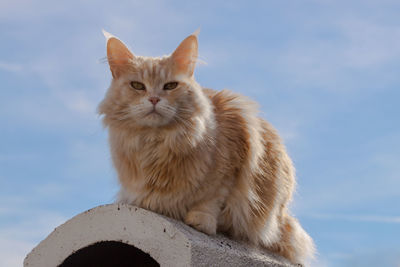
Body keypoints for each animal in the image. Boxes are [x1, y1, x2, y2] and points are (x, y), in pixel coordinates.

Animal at [98, 29, 314, 266]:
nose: (154, 99)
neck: (156, 142)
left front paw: (201, 220)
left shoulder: (233, 154)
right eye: (137, 86)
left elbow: (214, 197)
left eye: (170, 86)